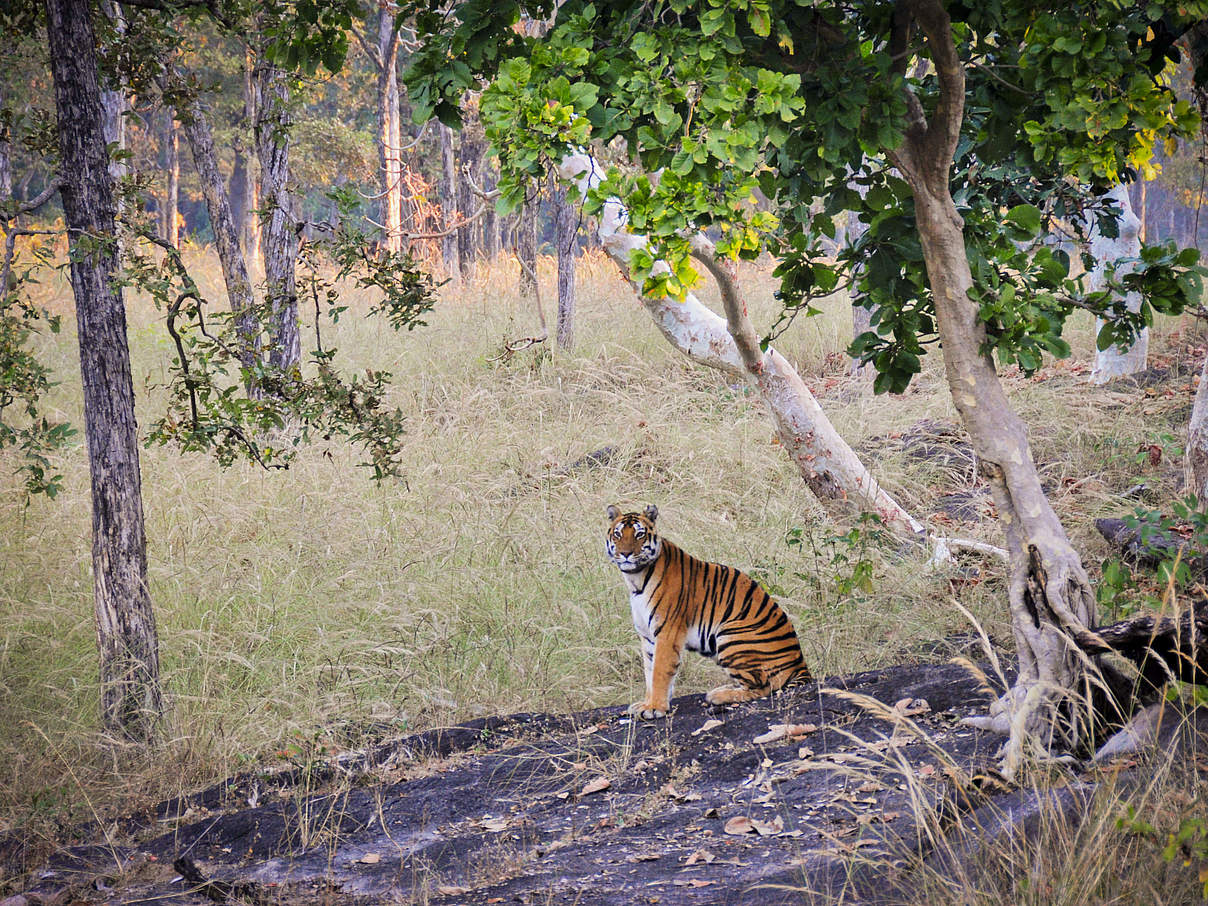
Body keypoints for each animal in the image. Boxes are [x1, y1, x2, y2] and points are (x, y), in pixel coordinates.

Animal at [605, 504, 813, 719]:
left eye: (639, 534)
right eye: (618, 534)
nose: (625, 553)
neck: (635, 578)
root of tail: (800, 664)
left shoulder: (667, 632)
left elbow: (660, 672)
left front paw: (655, 708)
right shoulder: (647, 637)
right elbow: (649, 672)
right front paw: (646, 703)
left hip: (730, 634)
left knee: (765, 685)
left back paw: (718, 695)